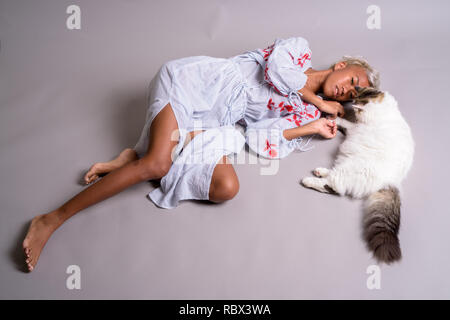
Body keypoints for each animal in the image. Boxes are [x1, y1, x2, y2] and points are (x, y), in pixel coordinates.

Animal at [302, 86, 414, 264]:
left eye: (357, 106)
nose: (353, 106)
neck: (383, 108)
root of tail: (391, 182)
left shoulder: (355, 127)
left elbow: (345, 122)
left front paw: (333, 118)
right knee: (330, 178)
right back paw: (319, 171)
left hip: (346, 170)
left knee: (332, 186)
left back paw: (308, 180)